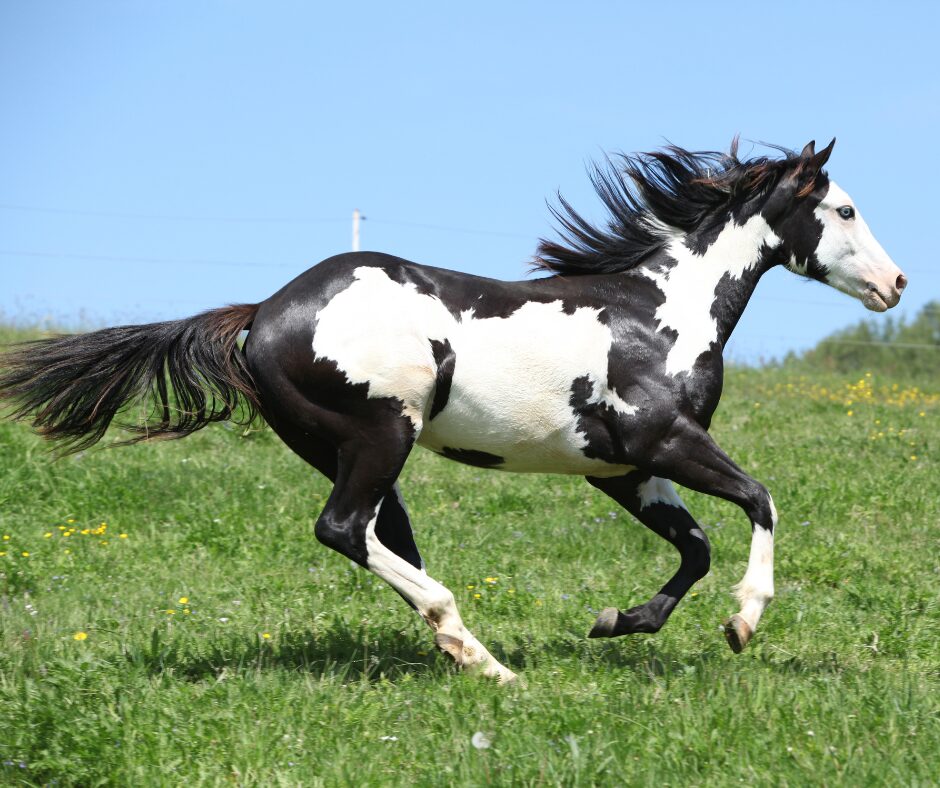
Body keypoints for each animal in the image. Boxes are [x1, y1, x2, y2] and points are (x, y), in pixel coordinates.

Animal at [0, 139, 906, 683]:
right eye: (845, 210)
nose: (896, 284)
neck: (658, 315)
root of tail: (264, 311)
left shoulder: (622, 468)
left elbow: (696, 547)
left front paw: (619, 621)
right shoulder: (664, 441)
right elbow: (760, 502)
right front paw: (743, 624)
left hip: (351, 451)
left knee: (376, 538)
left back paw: (469, 651)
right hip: (381, 434)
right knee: (343, 529)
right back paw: (478, 652)